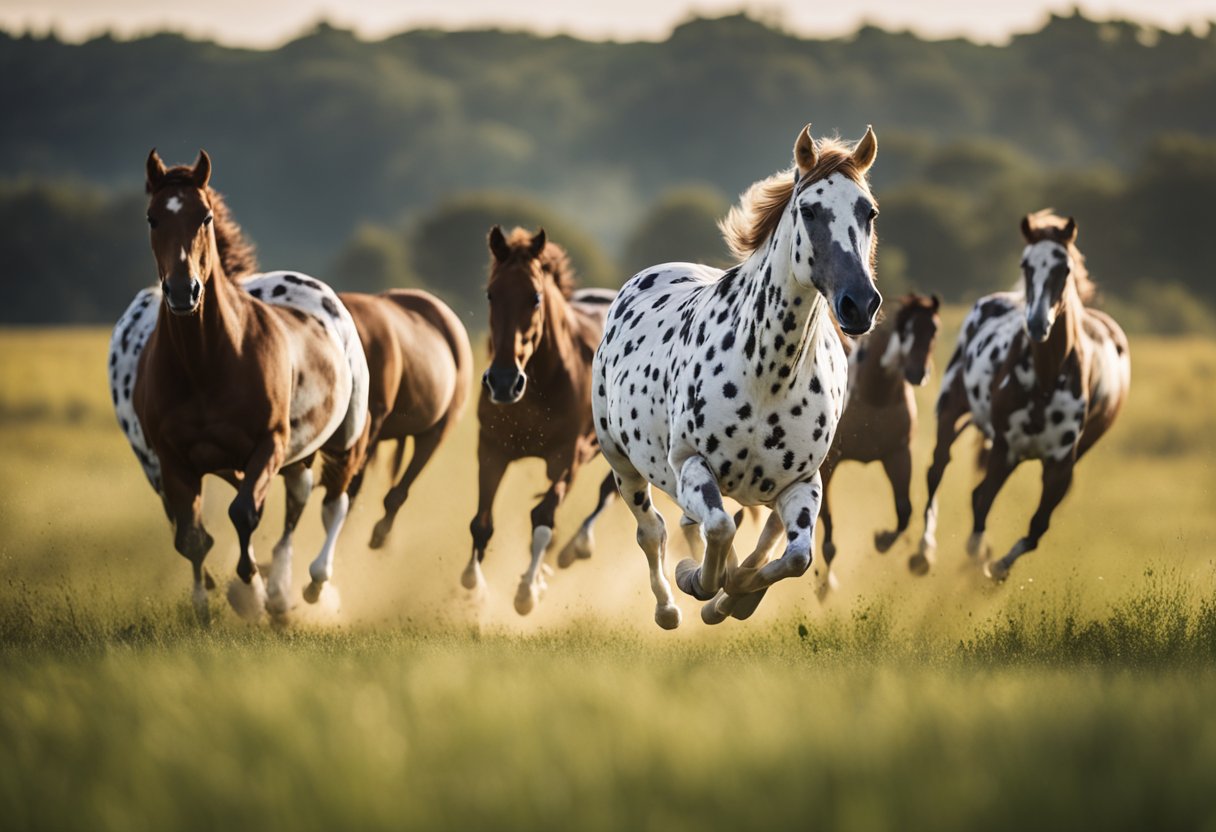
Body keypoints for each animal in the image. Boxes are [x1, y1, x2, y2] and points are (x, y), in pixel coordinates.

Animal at [108, 149, 364, 620]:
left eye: (205, 216)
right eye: (153, 218)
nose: (183, 291)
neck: (205, 364)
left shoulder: (268, 444)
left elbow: (244, 513)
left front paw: (251, 591)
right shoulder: (172, 459)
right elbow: (191, 535)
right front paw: (205, 604)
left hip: (344, 437)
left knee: (332, 502)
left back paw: (310, 584)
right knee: (296, 498)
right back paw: (278, 587)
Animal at [462, 223, 617, 613]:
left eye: (534, 297)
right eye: (491, 294)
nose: (503, 382)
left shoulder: (567, 456)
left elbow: (543, 517)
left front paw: (527, 590)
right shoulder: (491, 449)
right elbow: (481, 522)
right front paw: (475, 586)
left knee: (608, 491)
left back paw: (577, 547)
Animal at [590, 123, 885, 627]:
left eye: (869, 211)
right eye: (809, 209)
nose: (859, 304)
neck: (767, 376)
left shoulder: (801, 483)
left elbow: (794, 556)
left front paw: (739, 597)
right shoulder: (691, 465)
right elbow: (719, 529)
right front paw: (699, 583)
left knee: (749, 533)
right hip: (623, 464)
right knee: (654, 531)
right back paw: (669, 607)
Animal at [812, 294, 943, 578]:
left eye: (934, 330)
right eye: (904, 331)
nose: (918, 373)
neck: (874, 398)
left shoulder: (898, 454)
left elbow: (904, 510)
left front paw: (883, 541)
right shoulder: (828, 464)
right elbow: (826, 523)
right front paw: (824, 579)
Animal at [914, 211, 1133, 581]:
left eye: (1065, 268)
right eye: (1026, 264)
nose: (1037, 324)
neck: (1045, 378)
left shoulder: (1060, 465)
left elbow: (1036, 527)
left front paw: (995, 569)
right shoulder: (1005, 447)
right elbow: (981, 510)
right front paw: (979, 563)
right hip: (952, 410)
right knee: (937, 470)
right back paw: (923, 552)